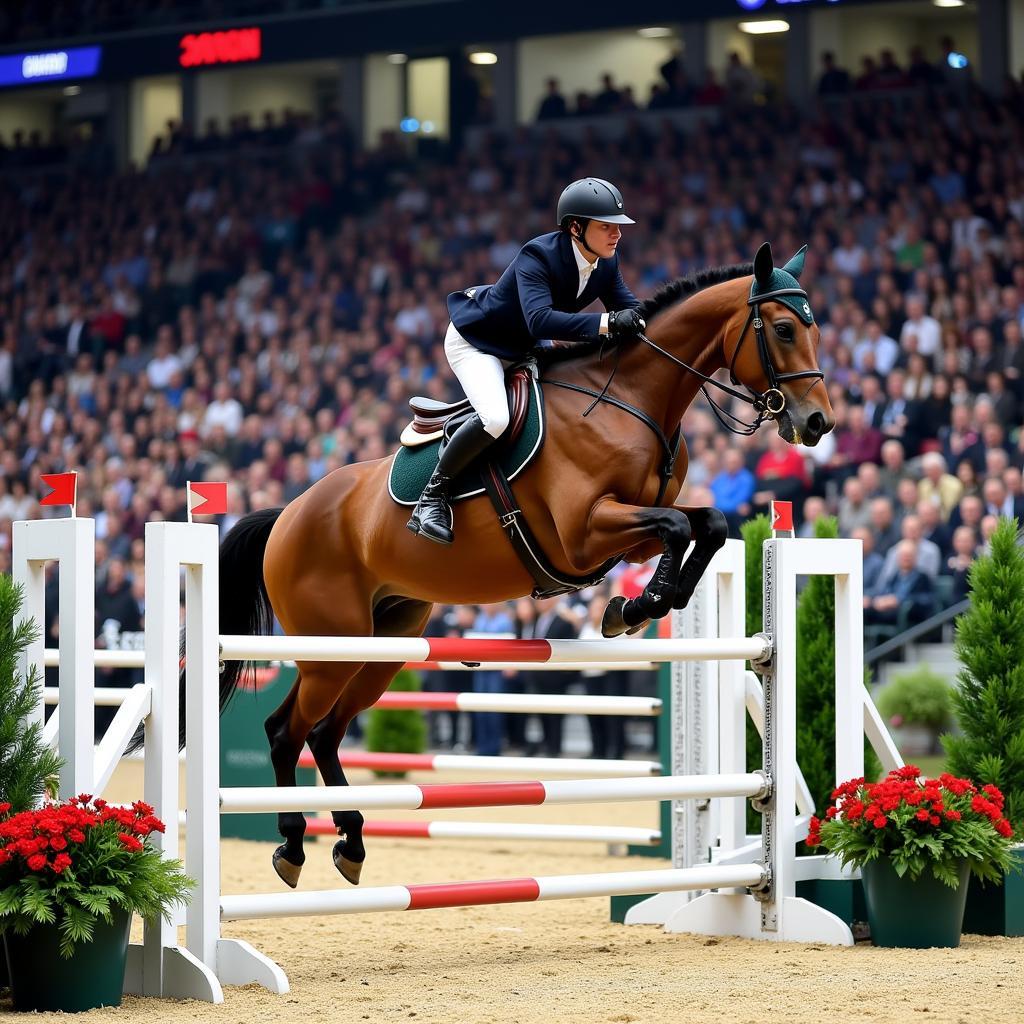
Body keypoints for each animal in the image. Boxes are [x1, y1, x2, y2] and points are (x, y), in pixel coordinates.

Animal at [209, 239, 831, 888]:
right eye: (784, 329)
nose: (817, 422)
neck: (632, 401)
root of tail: (287, 513)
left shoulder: (626, 533)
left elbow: (705, 524)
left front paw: (634, 607)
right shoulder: (584, 534)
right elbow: (680, 526)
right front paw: (639, 606)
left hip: (384, 645)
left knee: (326, 733)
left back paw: (351, 842)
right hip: (331, 647)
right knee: (287, 732)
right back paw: (292, 845)